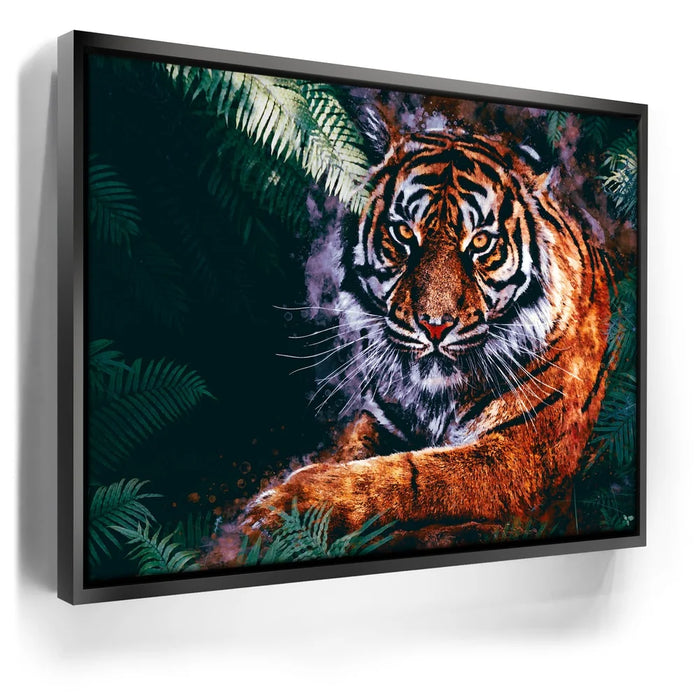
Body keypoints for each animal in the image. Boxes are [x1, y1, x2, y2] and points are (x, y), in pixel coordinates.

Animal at [216, 124, 612, 556]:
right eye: (404, 233)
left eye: (480, 242)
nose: (435, 325)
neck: (434, 397)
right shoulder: (383, 418)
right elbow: (355, 451)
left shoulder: (523, 455)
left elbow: (406, 476)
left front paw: (280, 510)